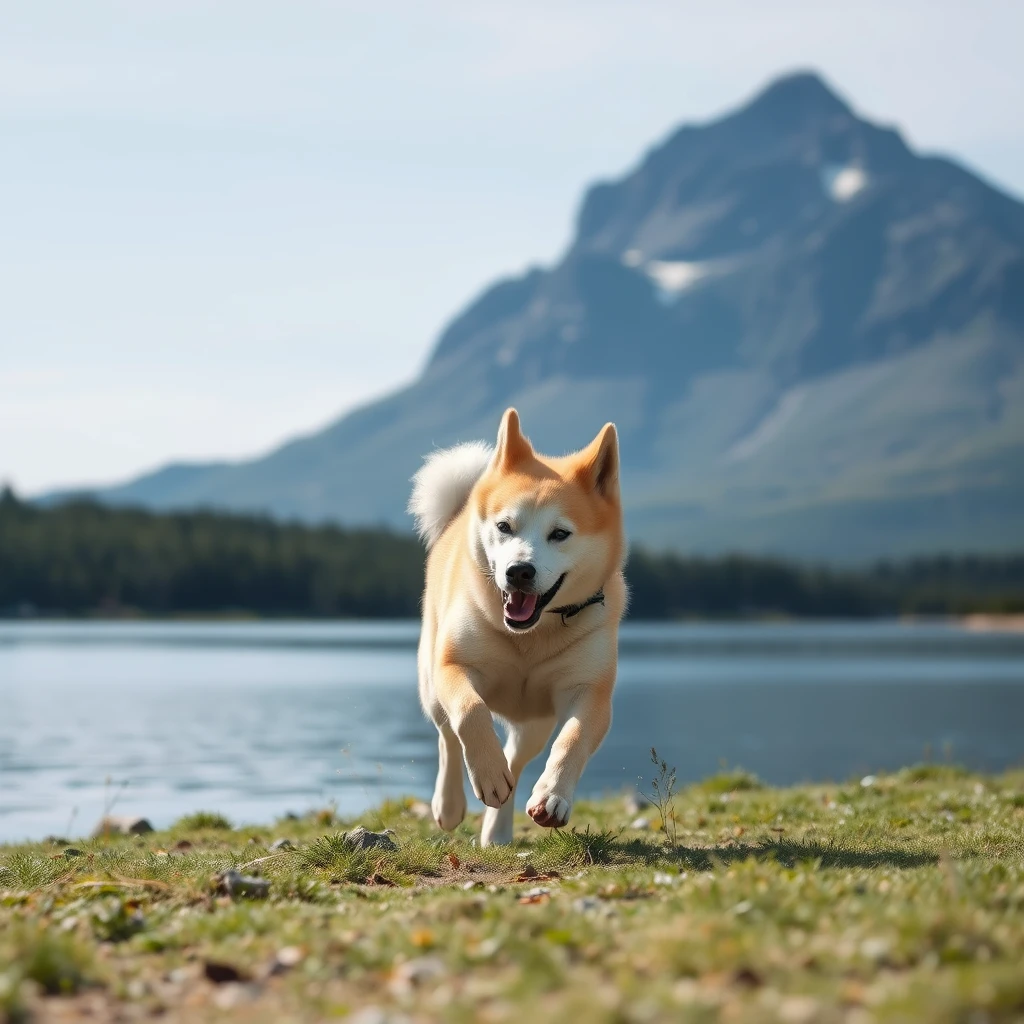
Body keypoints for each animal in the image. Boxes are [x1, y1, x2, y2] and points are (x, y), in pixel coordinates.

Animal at [407, 407, 622, 847]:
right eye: (505, 526)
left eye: (560, 533)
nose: (519, 571)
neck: (530, 638)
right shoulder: (455, 666)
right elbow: (470, 713)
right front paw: (487, 774)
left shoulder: (590, 691)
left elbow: (572, 739)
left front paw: (553, 796)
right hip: (431, 685)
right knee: (447, 737)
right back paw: (450, 804)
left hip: (534, 723)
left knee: (516, 759)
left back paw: (498, 828)